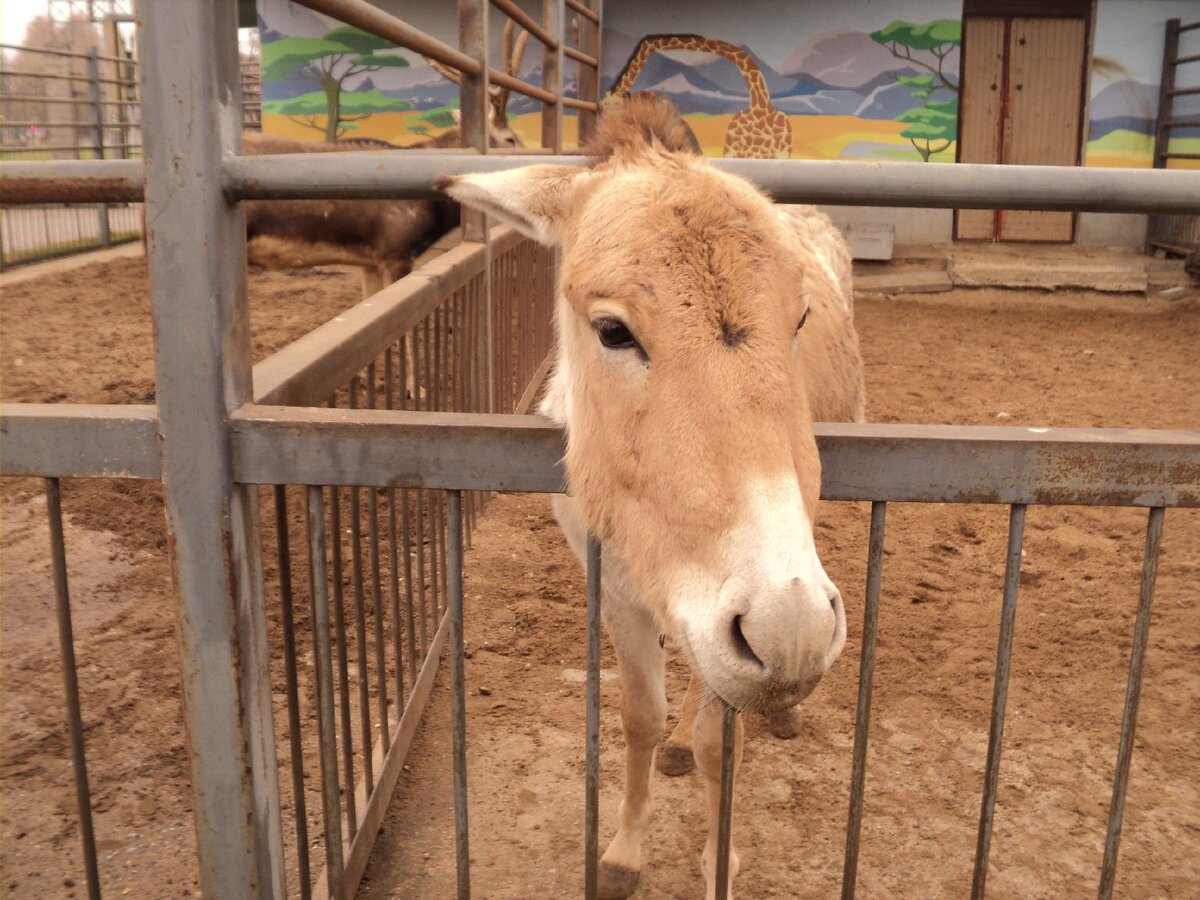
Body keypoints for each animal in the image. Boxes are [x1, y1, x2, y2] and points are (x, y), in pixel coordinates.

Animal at [439, 93, 864, 900]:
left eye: (798, 319)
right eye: (611, 330)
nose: (791, 634)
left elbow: (717, 738)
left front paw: (717, 861)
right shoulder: (612, 582)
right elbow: (638, 715)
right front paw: (623, 852)